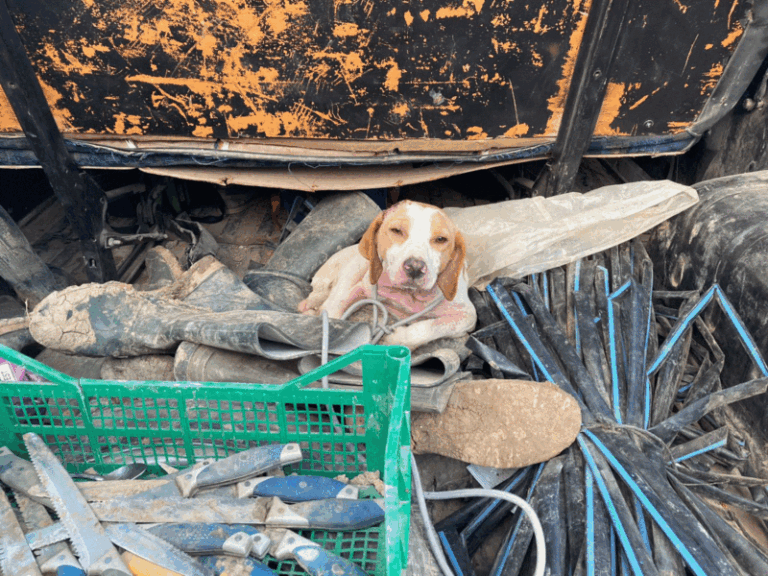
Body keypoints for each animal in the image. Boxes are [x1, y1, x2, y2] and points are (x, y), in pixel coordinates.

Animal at [298, 198, 474, 352]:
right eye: (396, 230)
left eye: (441, 239)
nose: (415, 268)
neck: (409, 294)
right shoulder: (363, 288)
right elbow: (340, 303)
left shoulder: (468, 316)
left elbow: (430, 328)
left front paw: (399, 339)